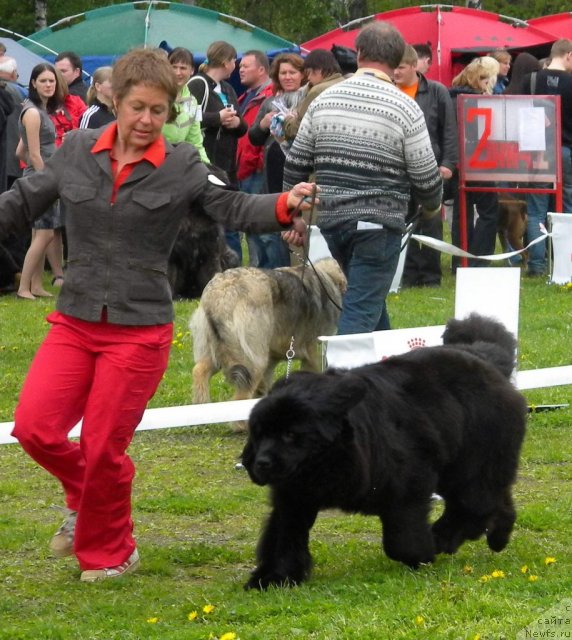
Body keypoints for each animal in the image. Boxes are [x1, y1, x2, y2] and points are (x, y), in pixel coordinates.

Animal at [241, 316, 528, 592]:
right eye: (259, 434)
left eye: (290, 434)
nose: (262, 463)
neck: (331, 462)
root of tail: (485, 358)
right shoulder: (294, 499)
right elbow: (284, 537)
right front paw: (274, 577)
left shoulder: (408, 484)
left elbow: (401, 539)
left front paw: (421, 553)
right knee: (492, 499)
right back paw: (497, 536)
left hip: (470, 465)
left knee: (474, 503)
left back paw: (443, 538)